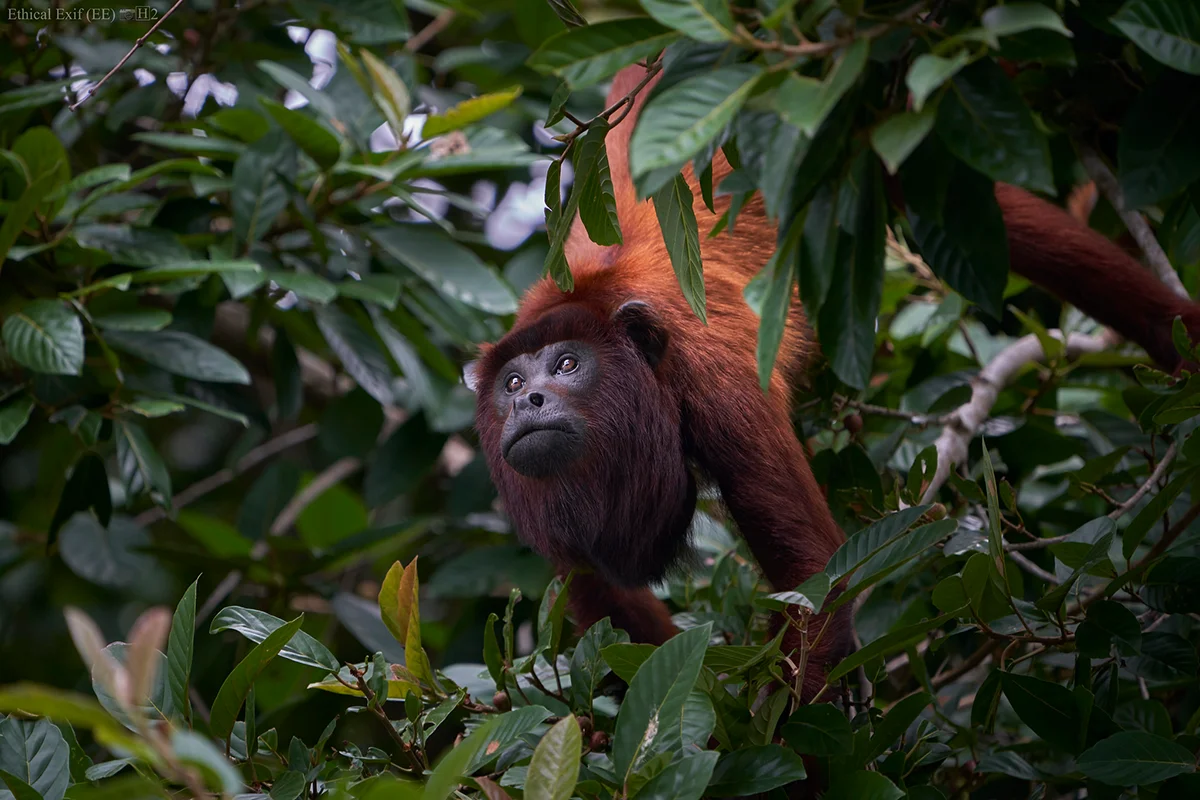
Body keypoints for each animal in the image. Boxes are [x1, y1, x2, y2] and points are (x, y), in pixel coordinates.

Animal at [460, 62, 1200, 700]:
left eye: (566, 365)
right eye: (511, 383)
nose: (528, 400)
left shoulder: (719, 386)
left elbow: (812, 576)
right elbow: (608, 604)